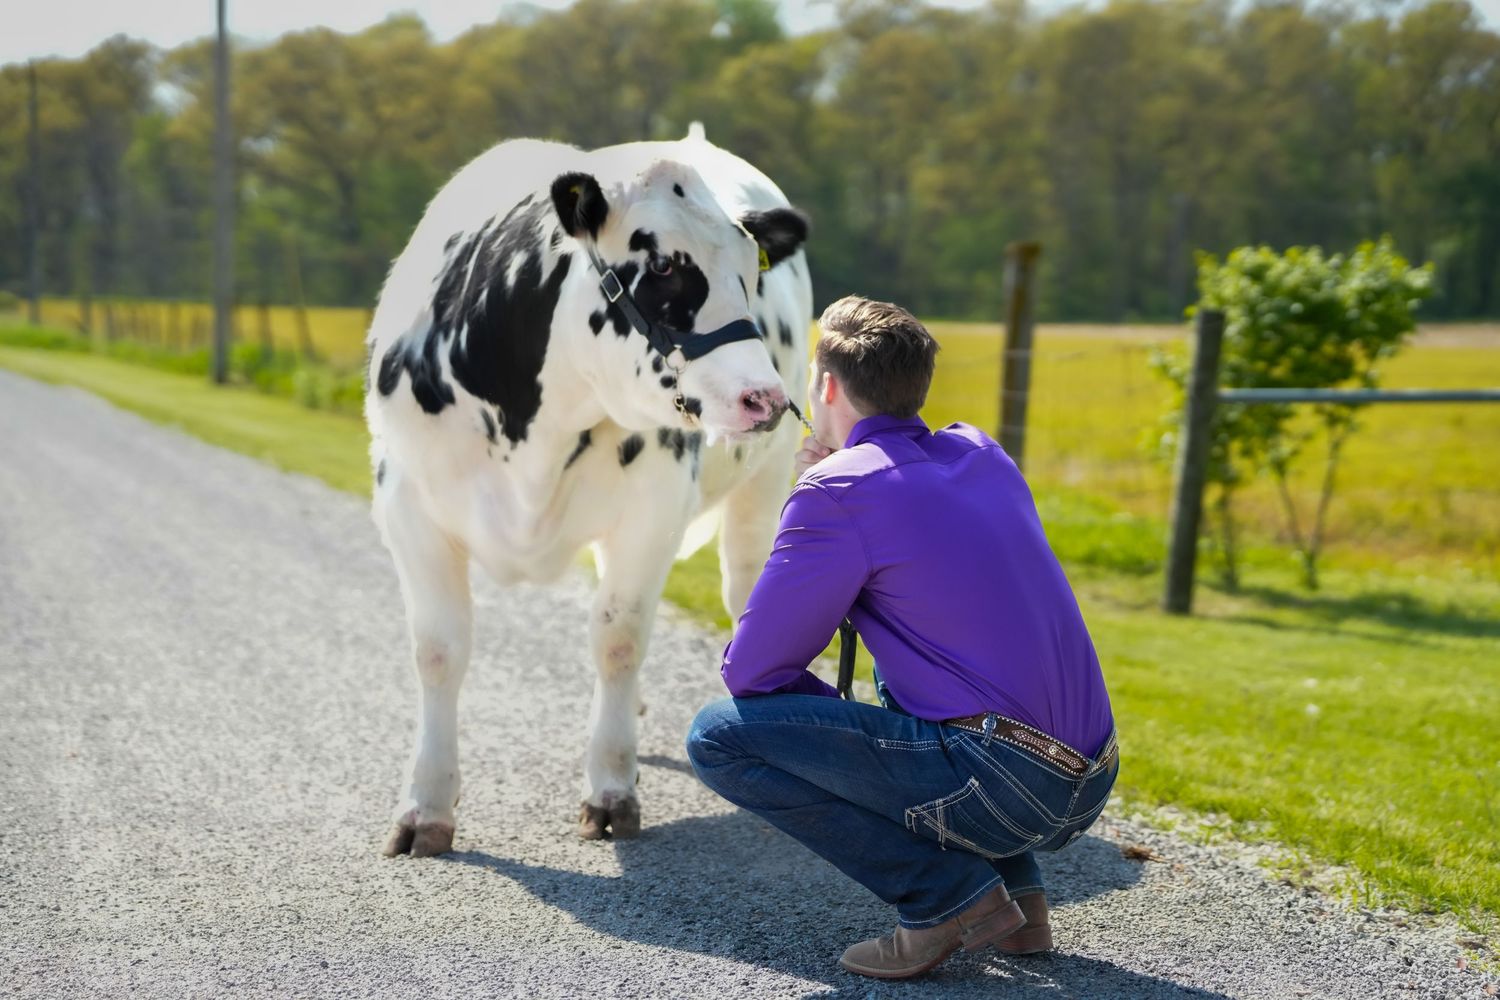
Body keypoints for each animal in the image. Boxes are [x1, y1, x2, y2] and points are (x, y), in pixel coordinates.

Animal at [364, 124, 812, 856]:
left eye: (752, 272)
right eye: (662, 268)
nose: (763, 398)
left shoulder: (653, 511)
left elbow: (618, 639)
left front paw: (610, 790)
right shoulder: (408, 506)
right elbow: (438, 651)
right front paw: (425, 806)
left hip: (767, 484)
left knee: (745, 588)